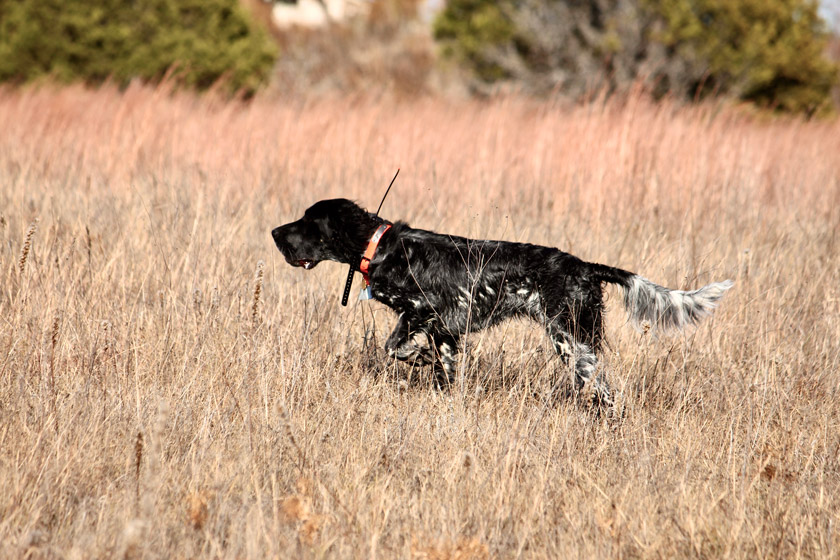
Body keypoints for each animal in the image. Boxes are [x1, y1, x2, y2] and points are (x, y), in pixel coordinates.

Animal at [272, 199, 732, 404]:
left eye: (307, 221)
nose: (275, 233)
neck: (381, 248)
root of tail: (585, 266)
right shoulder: (446, 333)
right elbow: (442, 371)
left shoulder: (422, 311)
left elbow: (395, 347)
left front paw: (418, 360)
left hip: (572, 341)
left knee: (605, 393)